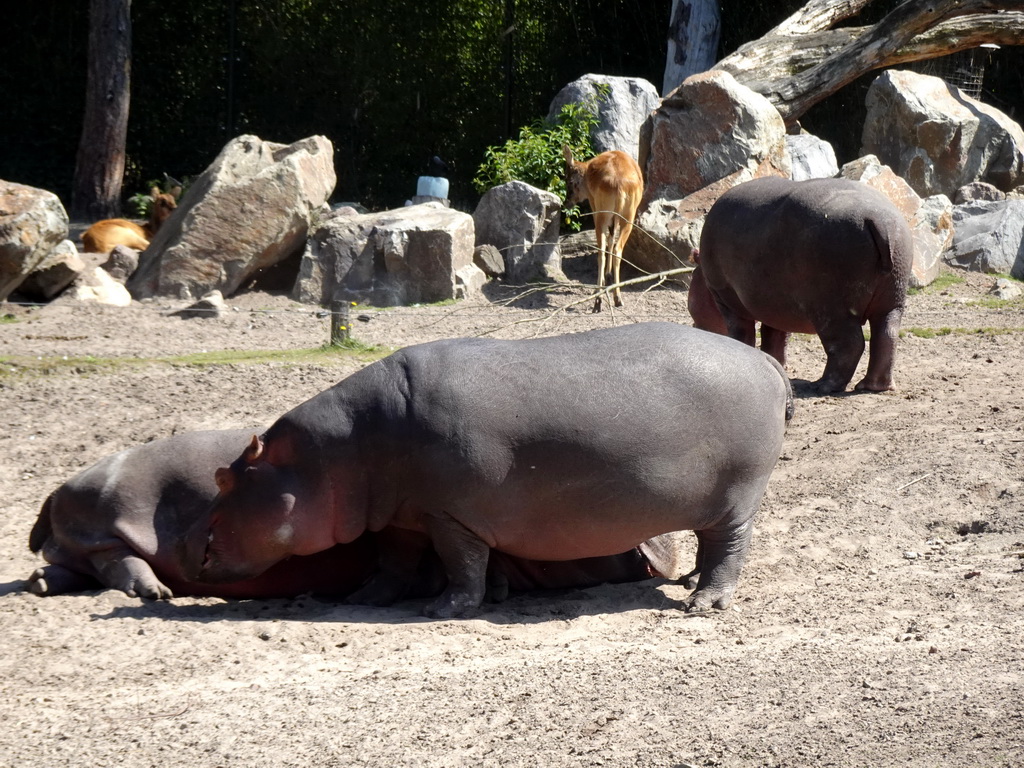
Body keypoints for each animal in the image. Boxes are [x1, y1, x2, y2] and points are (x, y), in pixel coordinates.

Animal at [565, 145, 643, 311]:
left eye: (568, 180)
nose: (566, 203)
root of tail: (619, 185)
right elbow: (612, 238)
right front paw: (608, 276)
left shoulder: (594, 206)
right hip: (628, 217)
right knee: (617, 249)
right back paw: (617, 298)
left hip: (601, 216)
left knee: (600, 251)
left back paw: (598, 300)